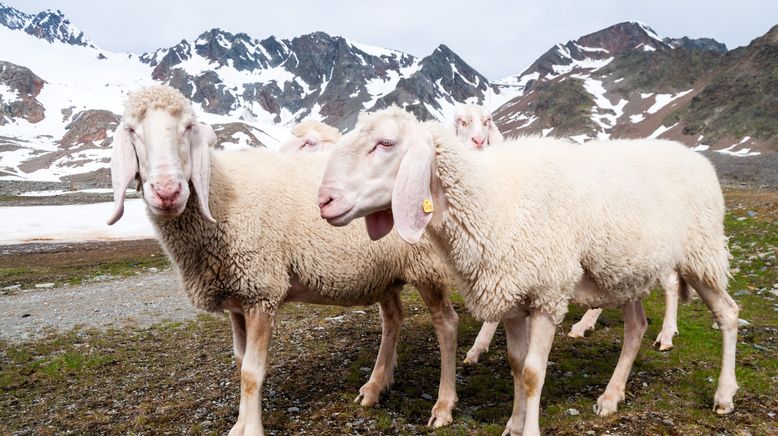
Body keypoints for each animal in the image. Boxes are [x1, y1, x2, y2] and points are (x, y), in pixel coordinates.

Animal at [107, 87, 460, 434]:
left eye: (188, 127)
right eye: (131, 130)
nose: (167, 191)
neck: (221, 197)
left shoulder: (262, 292)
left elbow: (252, 371)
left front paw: (251, 429)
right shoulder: (238, 297)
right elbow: (239, 362)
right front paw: (239, 426)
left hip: (427, 266)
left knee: (446, 322)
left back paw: (443, 405)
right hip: (384, 271)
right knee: (393, 319)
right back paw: (375, 387)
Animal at [318, 106, 736, 436]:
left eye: (386, 143)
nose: (324, 200)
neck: (494, 201)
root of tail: (695, 157)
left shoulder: (548, 294)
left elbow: (534, 373)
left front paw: (528, 428)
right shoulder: (512, 294)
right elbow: (516, 366)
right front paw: (513, 424)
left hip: (701, 253)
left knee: (728, 314)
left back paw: (723, 395)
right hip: (624, 271)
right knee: (635, 327)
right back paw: (611, 396)